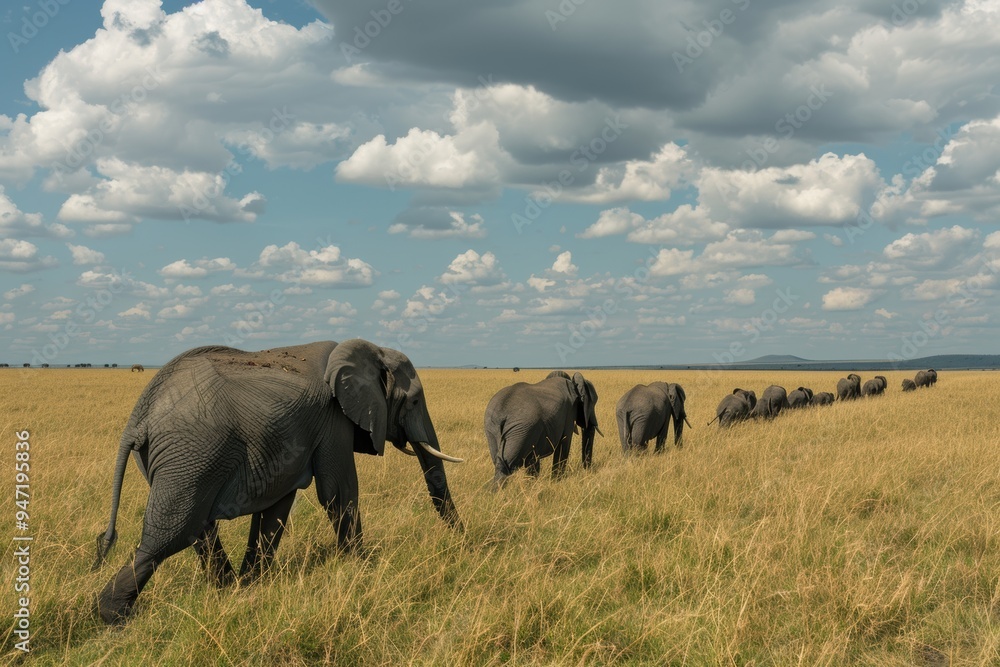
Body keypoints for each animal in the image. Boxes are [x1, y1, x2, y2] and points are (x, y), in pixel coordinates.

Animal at [92, 339, 463, 624]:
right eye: (414, 401)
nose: (463, 541)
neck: (368, 350)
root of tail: (139, 417)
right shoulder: (333, 419)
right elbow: (337, 492)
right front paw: (363, 568)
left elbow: (277, 506)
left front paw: (252, 584)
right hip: (191, 452)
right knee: (171, 534)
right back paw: (114, 616)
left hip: (180, 459)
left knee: (198, 527)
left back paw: (227, 588)